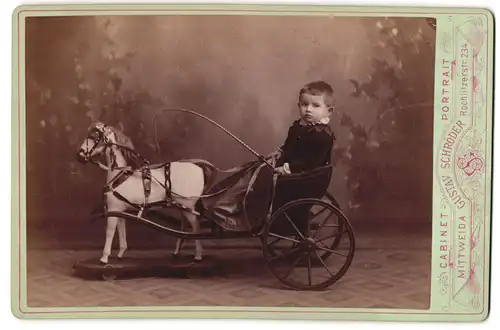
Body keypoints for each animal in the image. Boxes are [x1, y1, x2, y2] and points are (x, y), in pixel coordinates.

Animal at [76, 121, 215, 262]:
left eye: (94, 137)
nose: (80, 155)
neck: (121, 175)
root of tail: (197, 166)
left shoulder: (113, 209)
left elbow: (110, 232)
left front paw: (104, 257)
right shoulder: (120, 210)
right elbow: (121, 231)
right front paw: (121, 252)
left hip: (189, 207)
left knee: (196, 228)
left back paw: (198, 254)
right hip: (183, 207)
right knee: (185, 228)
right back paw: (178, 251)